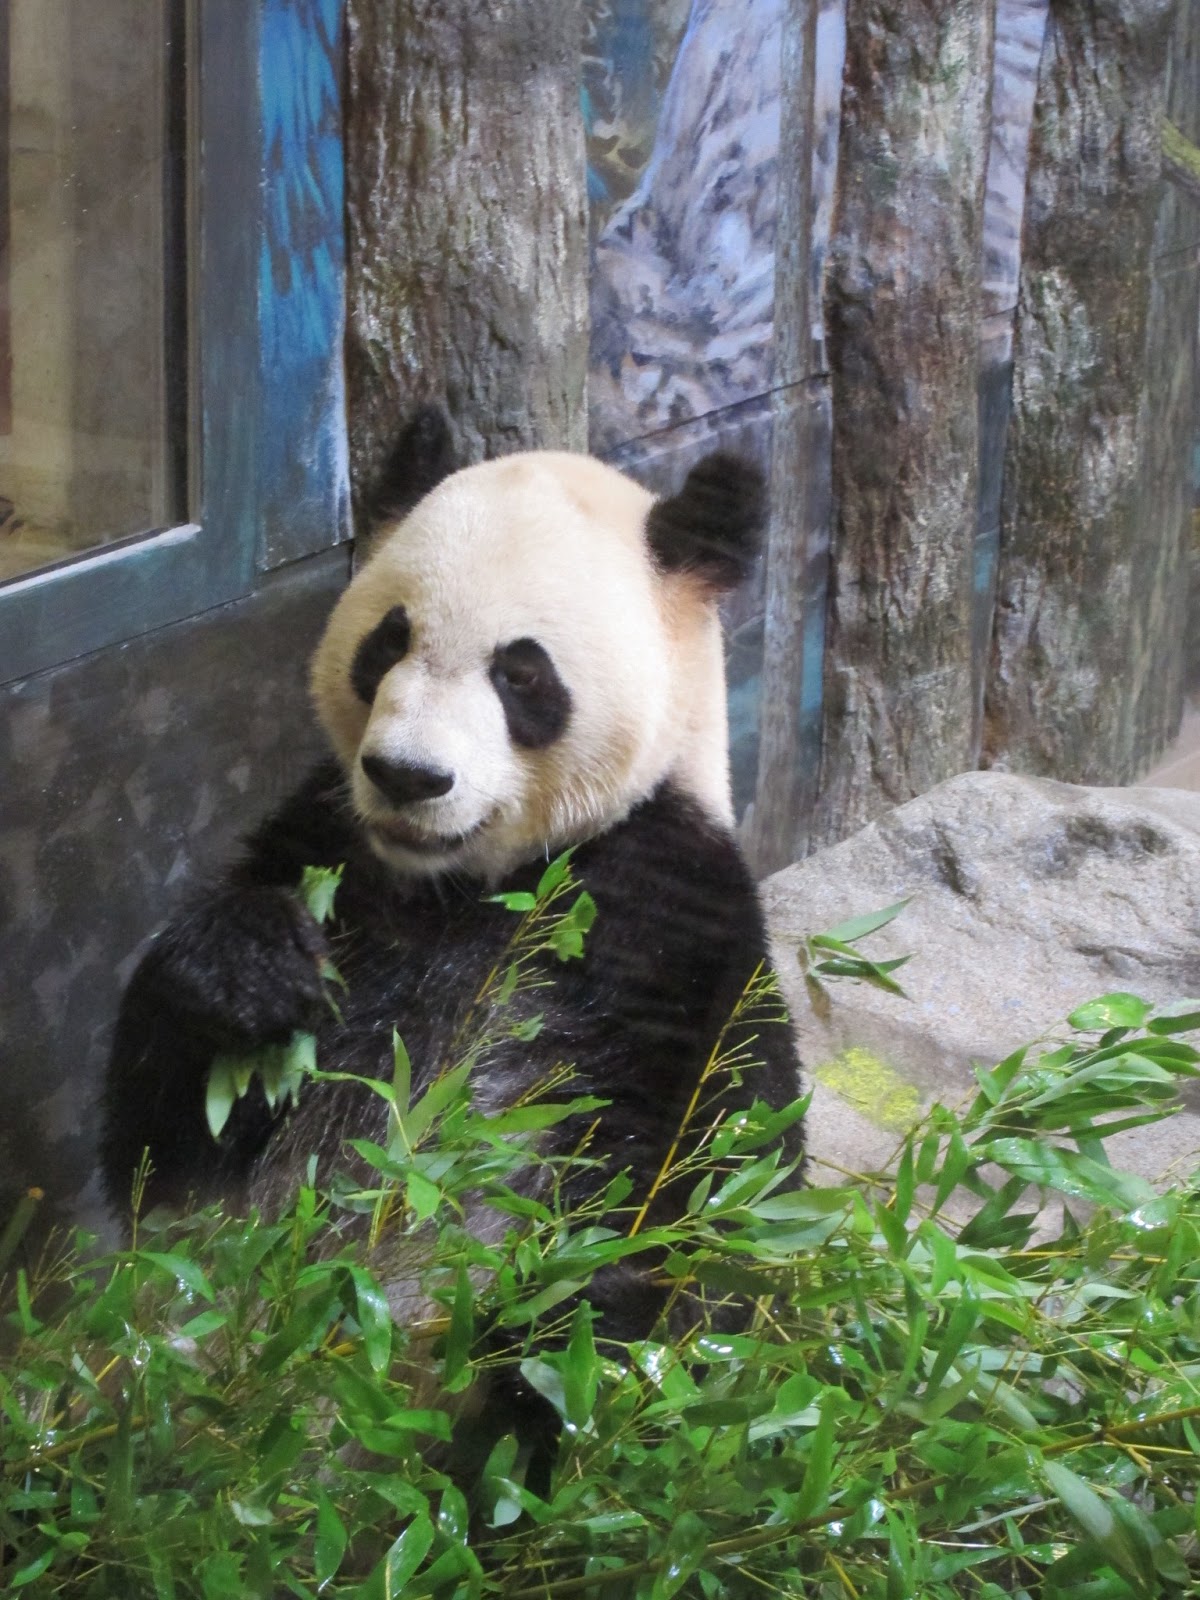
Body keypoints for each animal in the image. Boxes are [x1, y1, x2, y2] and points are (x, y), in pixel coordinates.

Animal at [100, 407, 804, 1354]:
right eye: (389, 640)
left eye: (521, 673)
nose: (407, 776)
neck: (468, 883)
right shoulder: (329, 846)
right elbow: (165, 1163)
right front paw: (251, 970)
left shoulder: (668, 918)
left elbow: (706, 1194)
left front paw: (562, 1330)